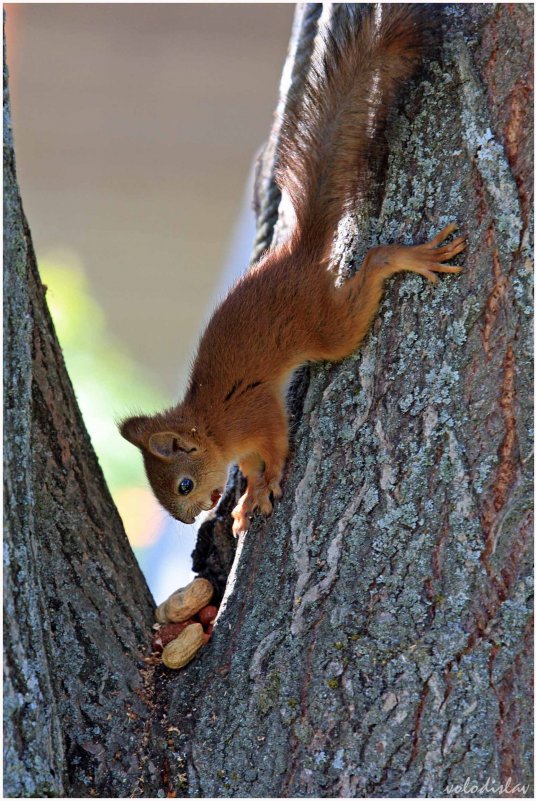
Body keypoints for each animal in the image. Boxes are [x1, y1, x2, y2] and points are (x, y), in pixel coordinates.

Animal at [120, 6, 464, 536]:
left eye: (182, 485)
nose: (190, 519)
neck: (213, 428)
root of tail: (295, 252)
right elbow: (251, 464)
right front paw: (246, 499)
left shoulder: (254, 413)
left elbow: (275, 447)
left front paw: (265, 484)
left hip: (326, 328)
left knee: (371, 271)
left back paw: (408, 258)